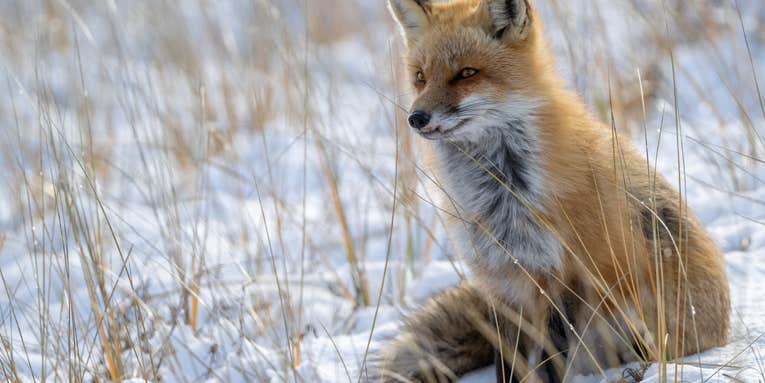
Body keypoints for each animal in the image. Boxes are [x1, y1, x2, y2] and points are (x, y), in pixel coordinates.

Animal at [380, 0, 732, 383]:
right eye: (420, 76)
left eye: (466, 73)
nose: (416, 118)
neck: (503, 194)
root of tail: (723, 332)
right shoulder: (502, 281)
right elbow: (508, 363)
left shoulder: (563, 276)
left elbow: (550, 361)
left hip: (632, 320)